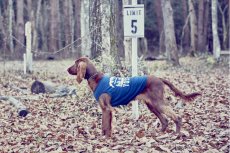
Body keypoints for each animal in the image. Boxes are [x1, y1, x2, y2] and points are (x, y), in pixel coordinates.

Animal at [67, 56, 200, 137]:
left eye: (75, 63)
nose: (67, 69)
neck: (95, 78)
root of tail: (159, 78)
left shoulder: (107, 108)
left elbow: (105, 125)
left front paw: (106, 137)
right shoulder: (105, 108)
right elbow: (105, 125)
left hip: (158, 103)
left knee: (177, 117)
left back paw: (177, 133)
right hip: (151, 105)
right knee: (165, 120)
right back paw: (160, 132)